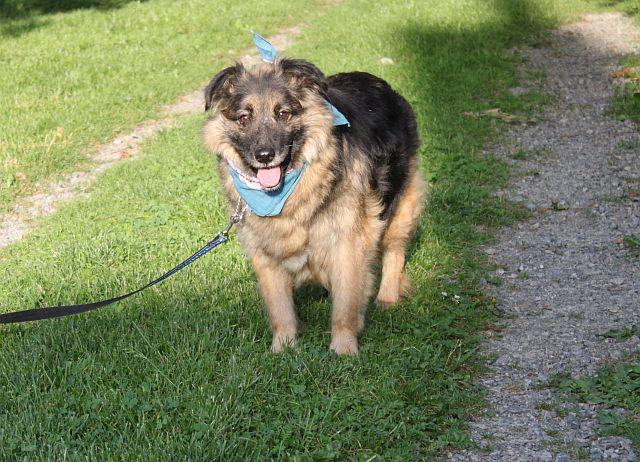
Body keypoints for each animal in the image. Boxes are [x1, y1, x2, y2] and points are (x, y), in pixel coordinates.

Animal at [202, 57, 425, 355]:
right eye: (244, 119)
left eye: (283, 114)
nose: (264, 156)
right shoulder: (265, 255)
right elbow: (281, 310)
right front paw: (282, 349)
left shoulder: (347, 245)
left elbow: (345, 305)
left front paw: (343, 349)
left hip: (400, 206)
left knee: (394, 251)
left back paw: (388, 296)